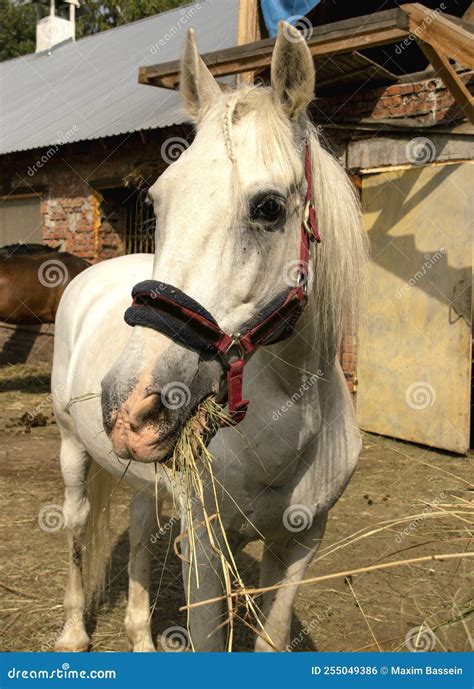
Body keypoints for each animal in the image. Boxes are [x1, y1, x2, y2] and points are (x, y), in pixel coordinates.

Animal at [52, 24, 366, 652]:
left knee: (139, 535)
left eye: (268, 207)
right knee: (76, 527)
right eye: (156, 200)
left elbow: (271, 636)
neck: (290, 422)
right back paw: (73, 633)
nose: (132, 404)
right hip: (73, 450)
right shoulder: (205, 548)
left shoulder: (301, 544)